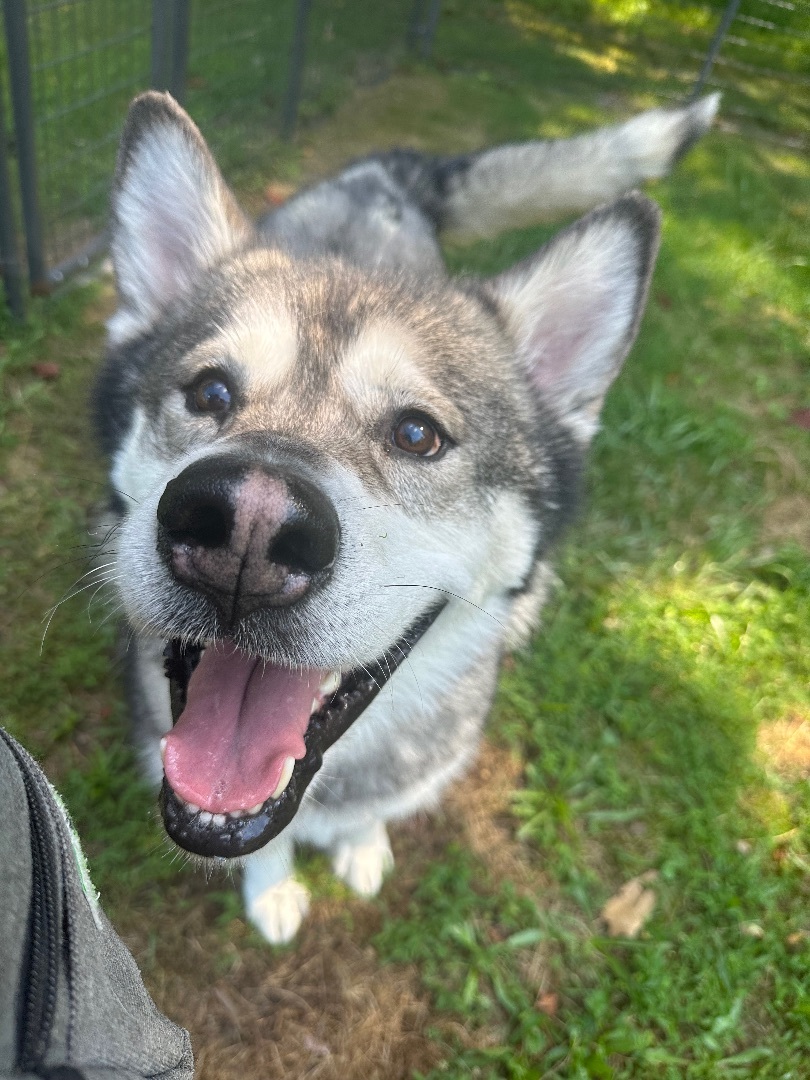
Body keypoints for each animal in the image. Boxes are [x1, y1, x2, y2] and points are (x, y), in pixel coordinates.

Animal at [91, 88, 721, 941]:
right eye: (209, 392)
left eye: (418, 434)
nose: (247, 527)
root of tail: (381, 173)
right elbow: (264, 849)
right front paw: (272, 888)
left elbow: (365, 819)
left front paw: (361, 847)